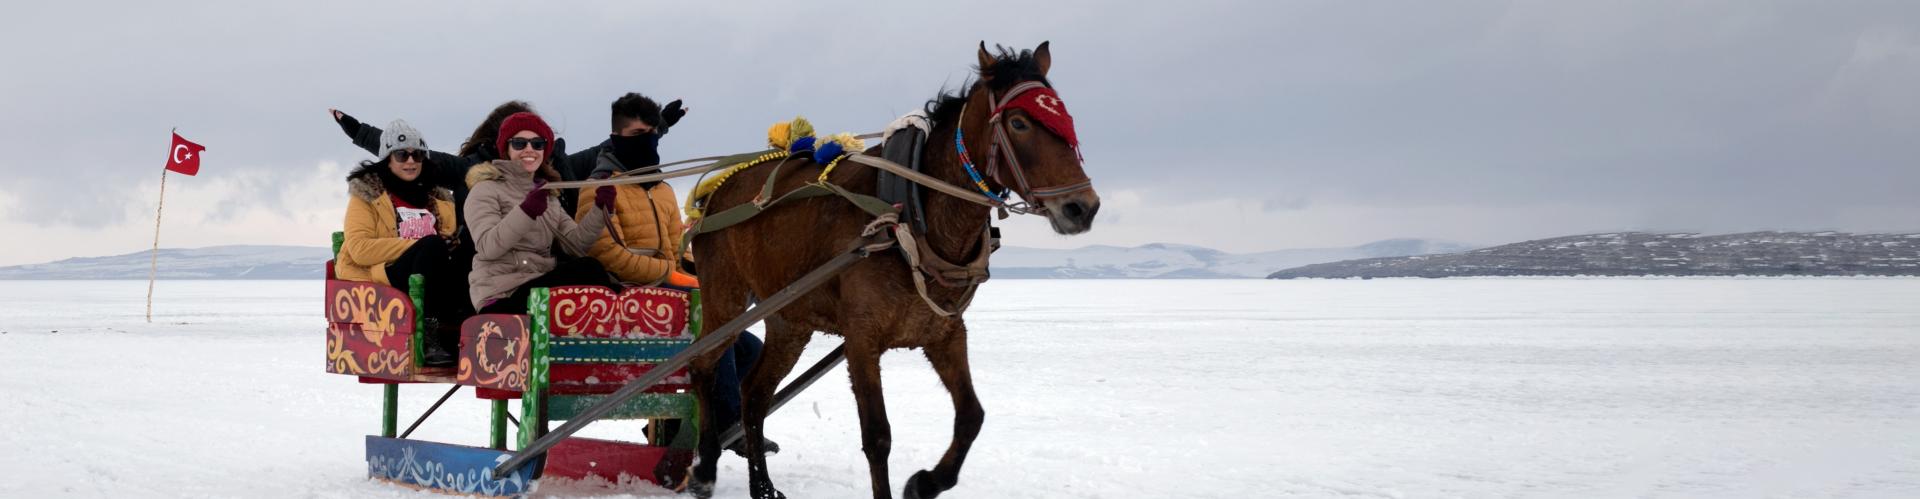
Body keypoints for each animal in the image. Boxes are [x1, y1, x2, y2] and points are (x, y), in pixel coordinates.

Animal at [691, 42, 1105, 499]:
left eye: (1066, 119)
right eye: (1019, 122)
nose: (1082, 207)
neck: (911, 216)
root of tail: (716, 192)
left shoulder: (944, 332)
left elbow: (972, 416)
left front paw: (925, 482)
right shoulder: (861, 336)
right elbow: (877, 436)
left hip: (789, 320)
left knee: (754, 393)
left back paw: (762, 487)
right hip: (725, 299)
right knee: (703, 368)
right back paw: (704, 467)